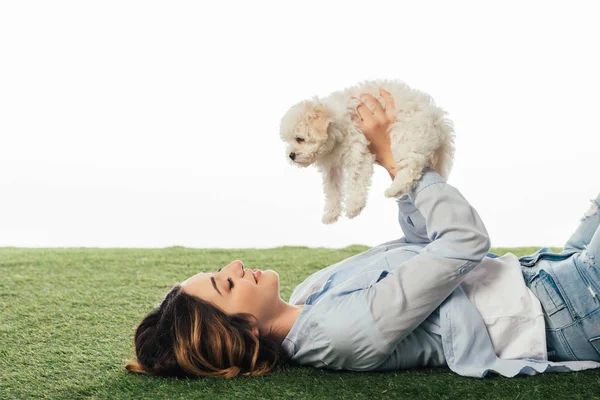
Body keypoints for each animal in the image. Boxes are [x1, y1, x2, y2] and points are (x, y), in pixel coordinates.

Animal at [282, 77, 454, 222]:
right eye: (289, 140)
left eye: (300, 139)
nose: (291, 155)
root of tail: (437, 120)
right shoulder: (332, 167)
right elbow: (332, 189)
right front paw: (331, 213)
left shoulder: (357, 150)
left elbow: (356, 179)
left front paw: (353, 206)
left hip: (406, 135)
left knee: (413, 164)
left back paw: (395, 189)